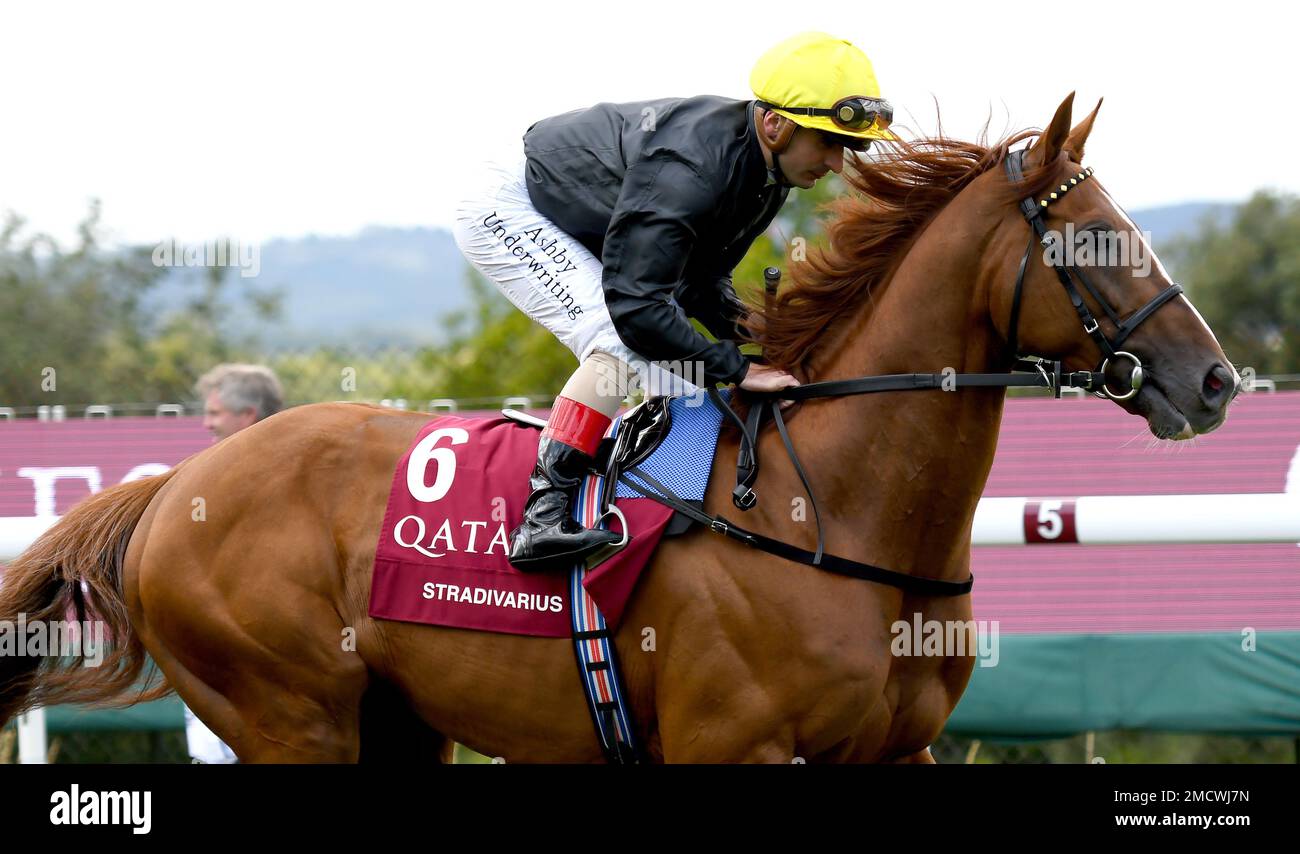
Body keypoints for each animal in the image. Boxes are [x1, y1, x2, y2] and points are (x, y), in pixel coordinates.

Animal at [0, 93, 1237, 759]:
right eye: (1087, 239)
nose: (1215, 380)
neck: (827, 506)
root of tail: (173, 488)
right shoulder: (732, 743)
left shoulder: (899, 745)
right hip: (289, 717)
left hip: (395, 719)